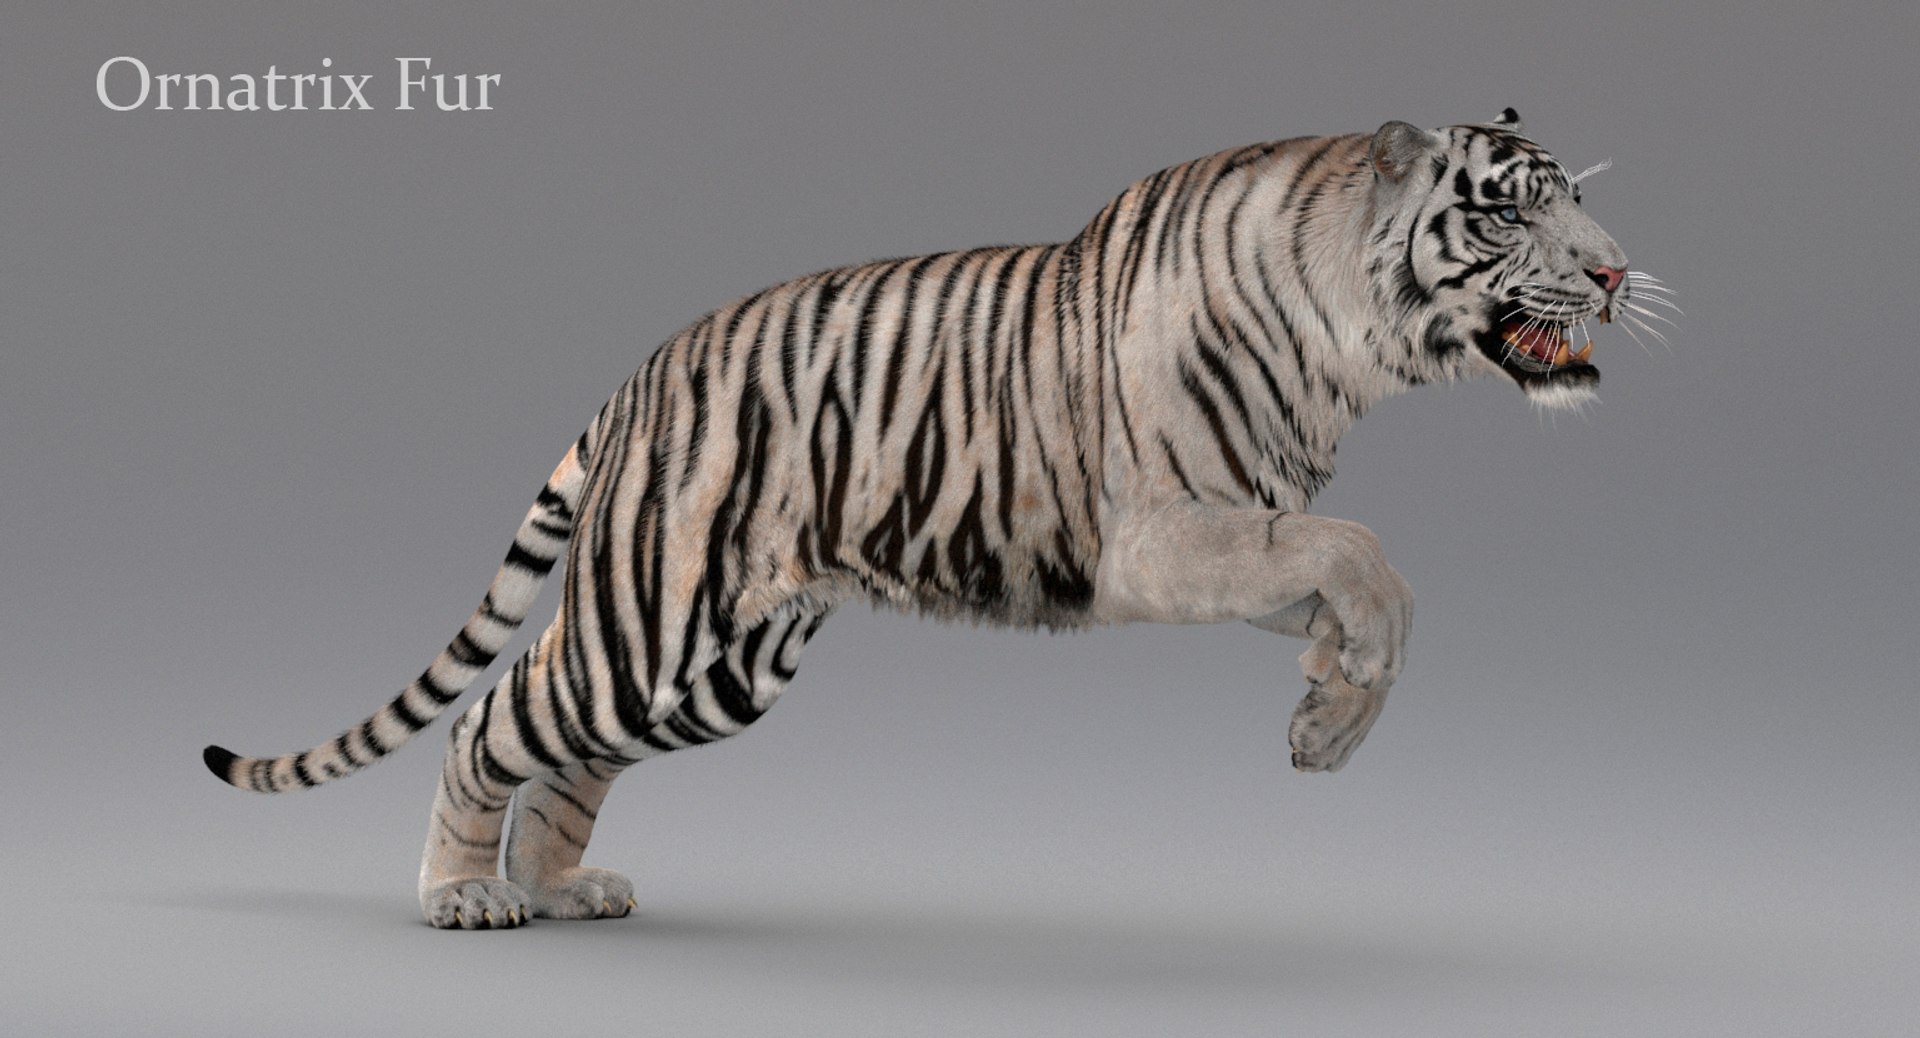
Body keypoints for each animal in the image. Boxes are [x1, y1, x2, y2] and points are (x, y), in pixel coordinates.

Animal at [205, 109, 1656, 929]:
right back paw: (464, 894)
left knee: (570, 756)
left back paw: (564, 889)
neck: (1353, 343)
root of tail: (636, 378)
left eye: (1582, 202)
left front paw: (1322, 712)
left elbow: (1375, 588)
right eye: (1509, 208)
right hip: (648, 621)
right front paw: (1326, 717)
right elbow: (1371, 557)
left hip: (718, 667)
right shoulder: (1166, 535)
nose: (1614, 272)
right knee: (493, 718)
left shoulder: (1248, 529)